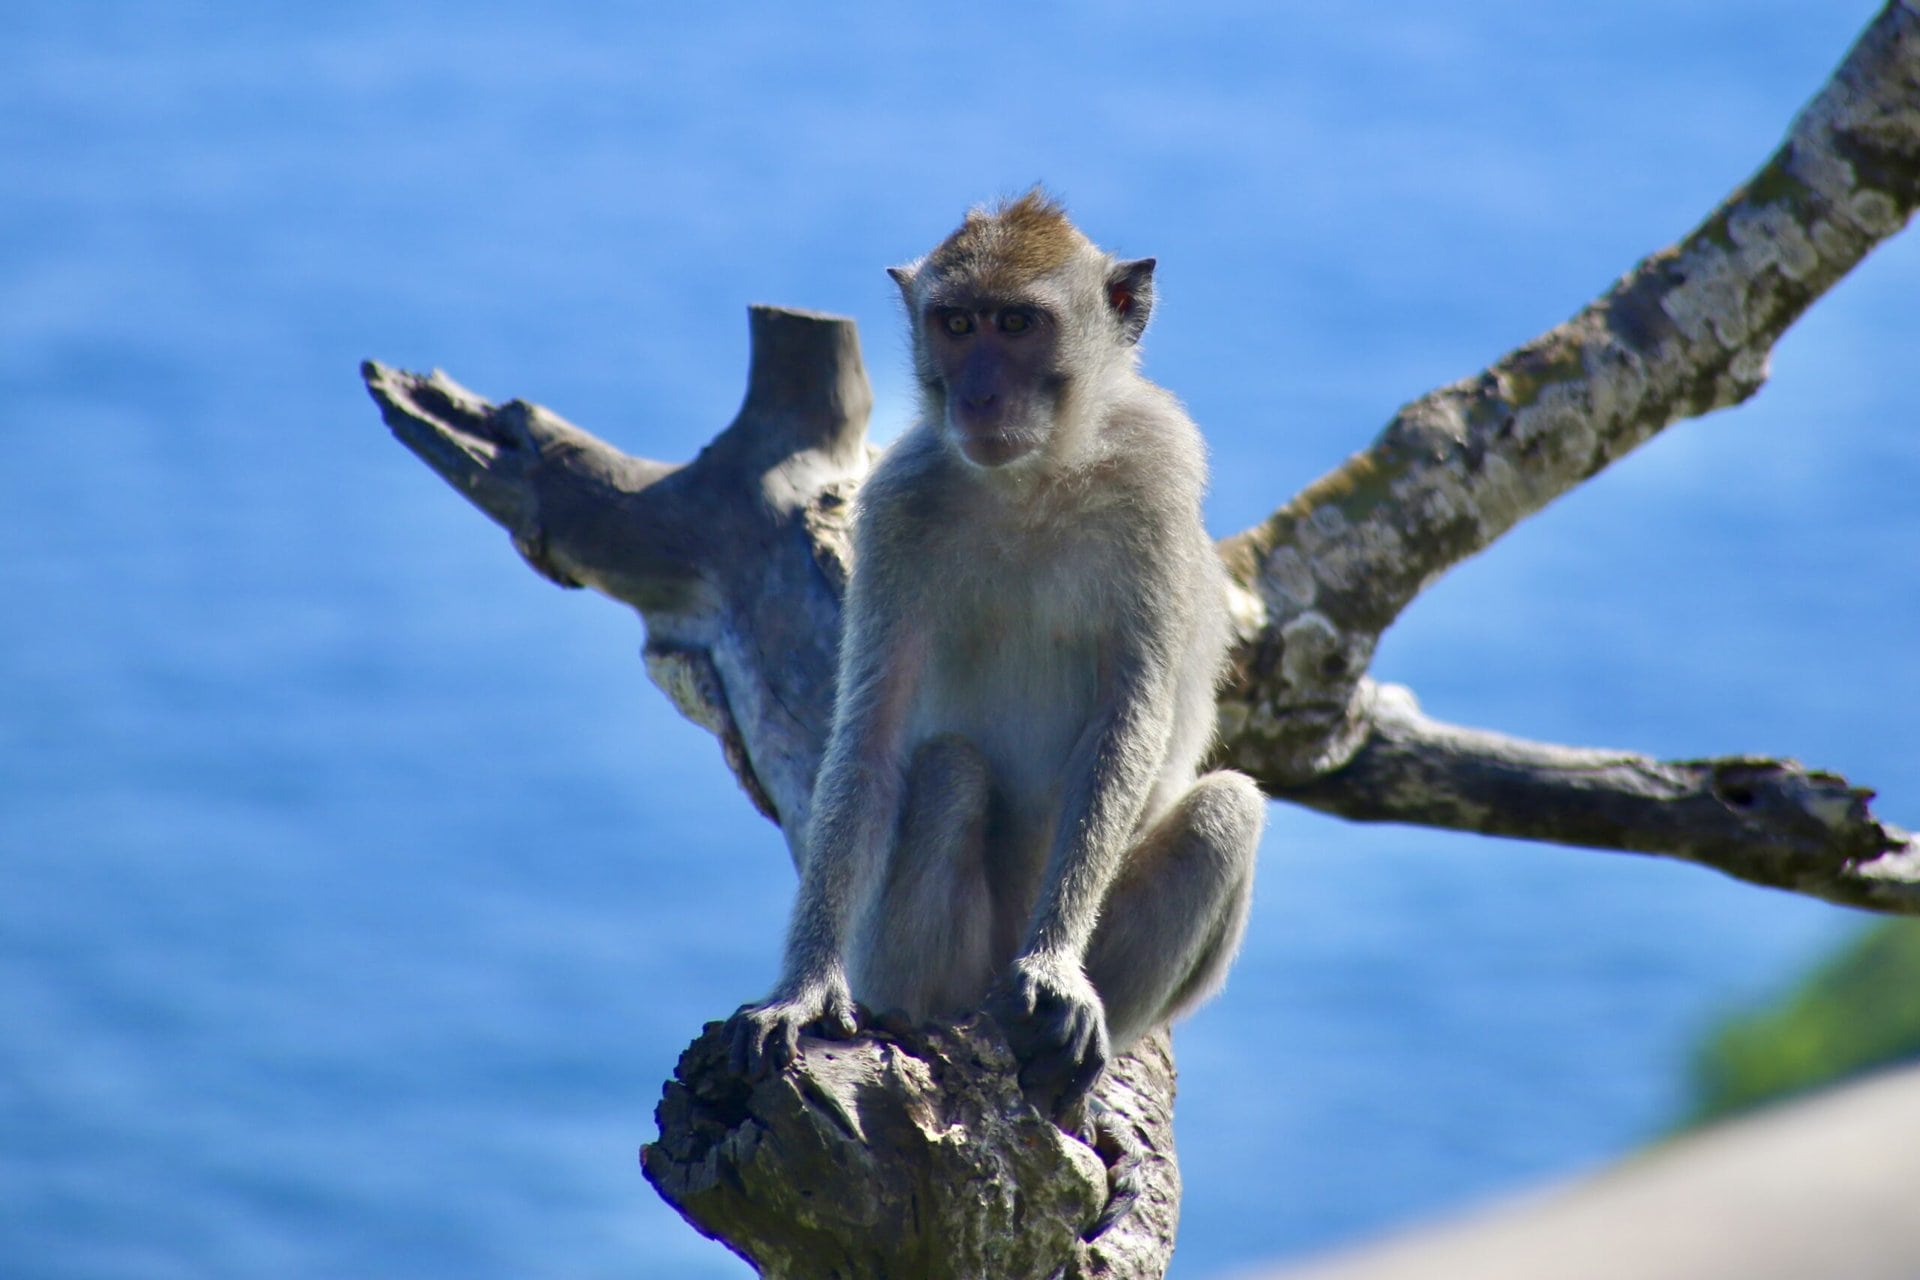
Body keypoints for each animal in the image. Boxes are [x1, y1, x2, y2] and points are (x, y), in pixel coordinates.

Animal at [727, 190, 1265, 1118]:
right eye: (956, 324)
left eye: (1016, 324)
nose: (977, 395)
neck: (1035, 481)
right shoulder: (897, 505)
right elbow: (872, 734)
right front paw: (802, 989)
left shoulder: (1159, 474)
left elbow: (1130, 716)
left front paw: (1054, 970)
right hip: (924, 961)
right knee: (948, 769)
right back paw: (932, 1018)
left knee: (1225, 810)